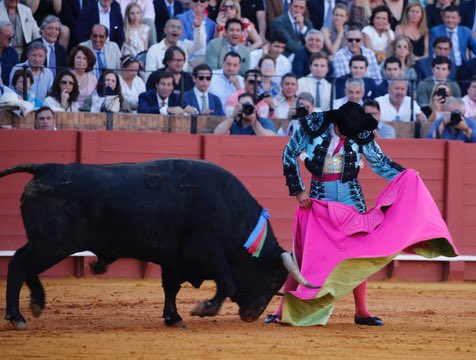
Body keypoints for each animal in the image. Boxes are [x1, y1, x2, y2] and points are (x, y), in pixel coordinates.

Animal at [0, 160, 312, 330]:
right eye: (273, 281)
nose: (251, 316)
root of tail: (46, 169)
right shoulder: (208, 251)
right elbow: (227, 282)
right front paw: (203, 309)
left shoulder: (174, 258)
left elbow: (170, 288)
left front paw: (173, 318)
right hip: (53, 243)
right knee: (18, 265)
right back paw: (17, 317)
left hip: (46, 242)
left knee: (25, 264)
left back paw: (37, 303)